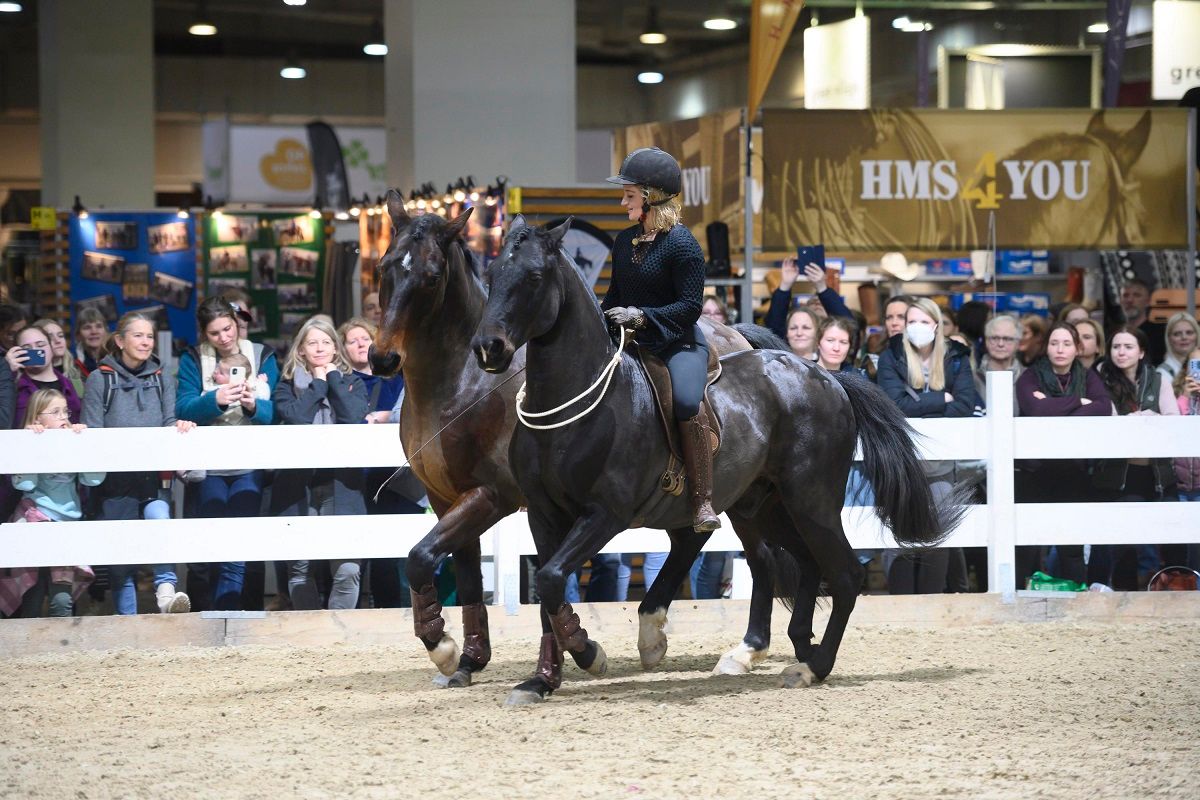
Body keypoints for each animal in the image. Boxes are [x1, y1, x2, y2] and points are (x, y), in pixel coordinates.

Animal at [370, 190, 784, 690]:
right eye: (384, 267)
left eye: (431, 277)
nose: (382, 357)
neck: (462, 383)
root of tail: (738, 335)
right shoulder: (446, 496)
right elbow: (456, 571)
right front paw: (466, 658)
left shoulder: (490, 496)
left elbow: (421, 556)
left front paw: (448, 650)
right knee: (693, 543)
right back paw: (655, 635)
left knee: (748, 553)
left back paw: (727, 647)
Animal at [471, 215, 968, 704]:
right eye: (492, 275)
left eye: (534, 277)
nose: (487, 348)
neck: (574, 403)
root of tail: (826, 376)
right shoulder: (544, 515)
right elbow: (546, 590)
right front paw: (541, 680)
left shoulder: (604, 514)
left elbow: (553, 578)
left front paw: (589, 652)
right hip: (762, 505)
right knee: (799, 564)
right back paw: (788, 647)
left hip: (812, 501)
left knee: (843, 574)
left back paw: (812, 666)